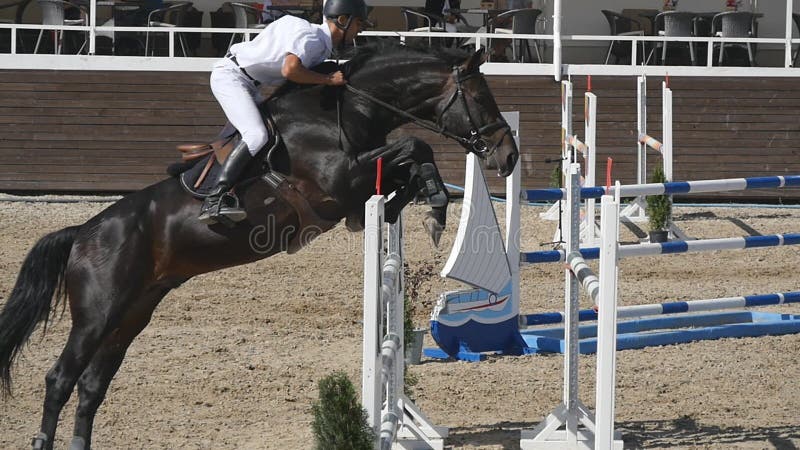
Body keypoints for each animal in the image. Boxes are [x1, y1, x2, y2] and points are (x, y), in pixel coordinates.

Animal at [0, 40, 520, 448]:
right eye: (479, 95)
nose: (509, 156)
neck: (345, 112)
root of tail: (83, 233)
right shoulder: (340, 183)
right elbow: (415, 146)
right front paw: (429, 207)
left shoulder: (361, 178)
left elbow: (413, 160)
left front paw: (422, 206)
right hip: (98, 313)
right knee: (60, 378)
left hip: (132, 313)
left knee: (91, 386)